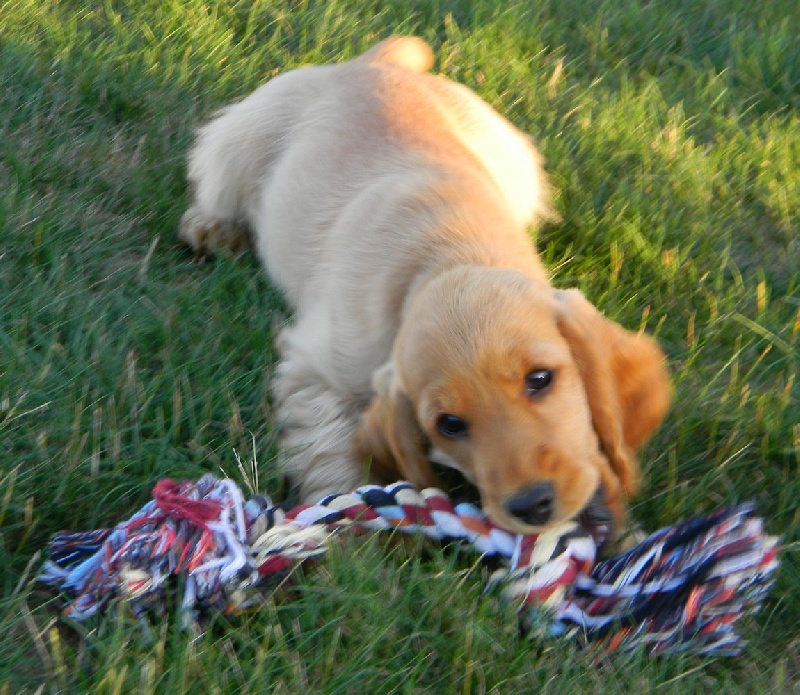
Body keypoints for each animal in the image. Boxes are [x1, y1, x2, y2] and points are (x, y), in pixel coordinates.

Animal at [180, 36, 668, 540]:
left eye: (540, 380)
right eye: (449, 425)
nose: (534, 506)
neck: (451, 254)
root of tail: (377, 61)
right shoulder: (316, 367)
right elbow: (332, 447)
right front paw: (347, 525)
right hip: (241, 141)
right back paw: (212, 230)